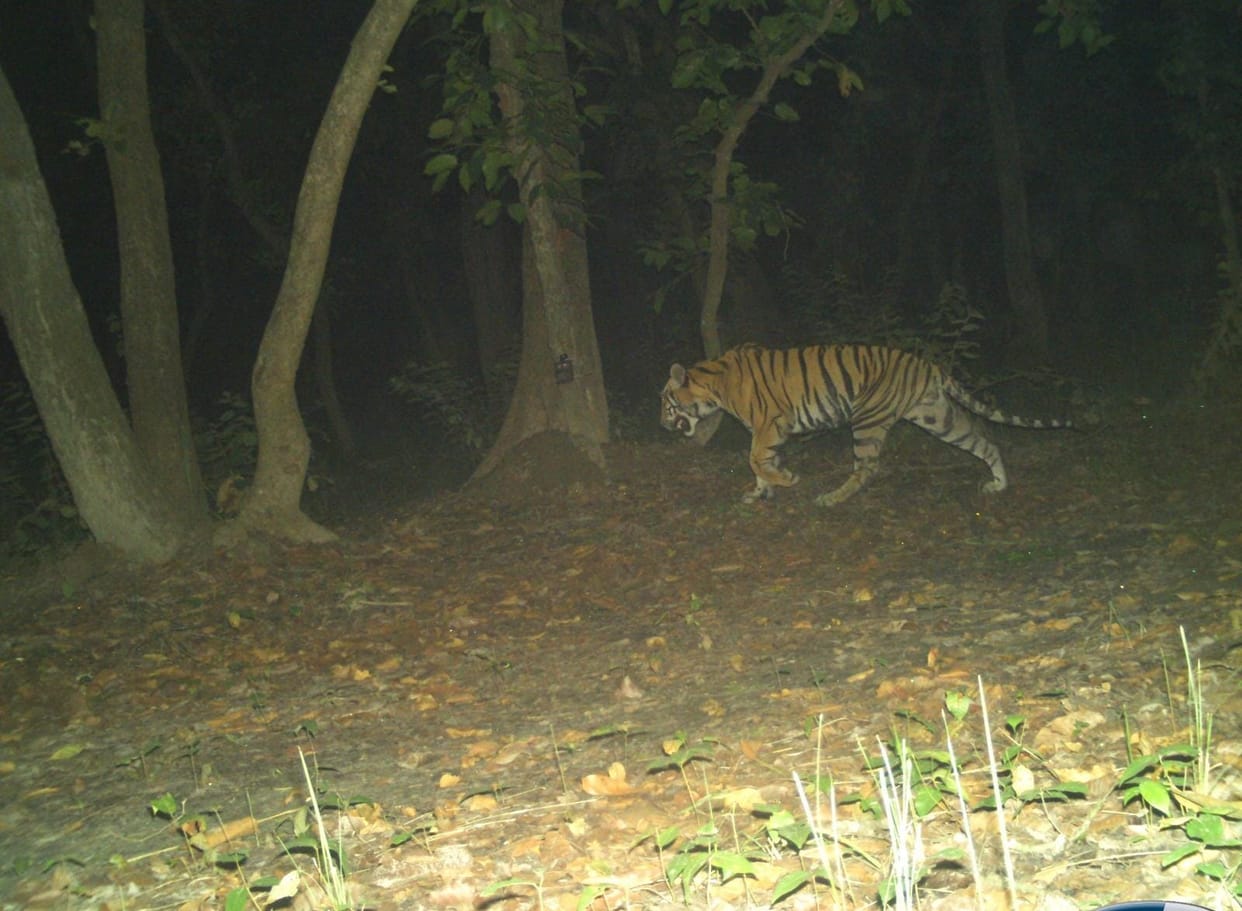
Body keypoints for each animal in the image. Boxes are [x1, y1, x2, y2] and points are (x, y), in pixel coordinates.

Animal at [660, 343, 1070, 506]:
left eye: (665, 402)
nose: (661, 424)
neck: (713, 387)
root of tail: (926, 364)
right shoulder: (762, 430)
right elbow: (759, 463)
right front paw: (761, 492)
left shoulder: (771, 422)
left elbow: (756, 459)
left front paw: (786, 480)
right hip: (936, 415)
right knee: (983, 440)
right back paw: (999, 484)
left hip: (867, 418)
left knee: (867, 466)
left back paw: (832, 498)